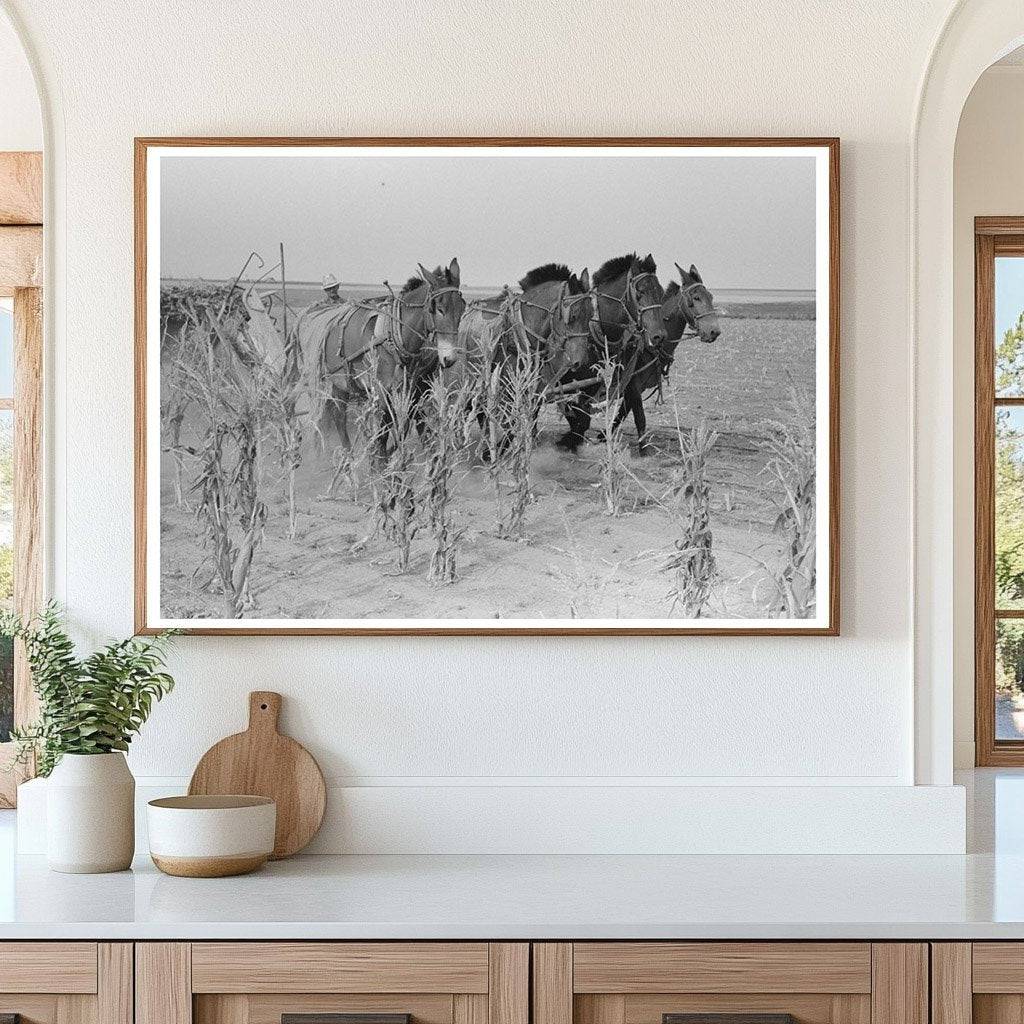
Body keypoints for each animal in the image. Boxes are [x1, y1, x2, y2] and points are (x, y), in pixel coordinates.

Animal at [301, 258, 466, 450]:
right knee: (332, 418)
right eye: (439, 308)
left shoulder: (415, 390)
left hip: (340, 384)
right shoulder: (381, 391)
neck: (395, 335)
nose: (450, 358)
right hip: (326, 381)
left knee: (337, 416)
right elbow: (382, 433)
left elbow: (419, 427)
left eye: (462, 308)